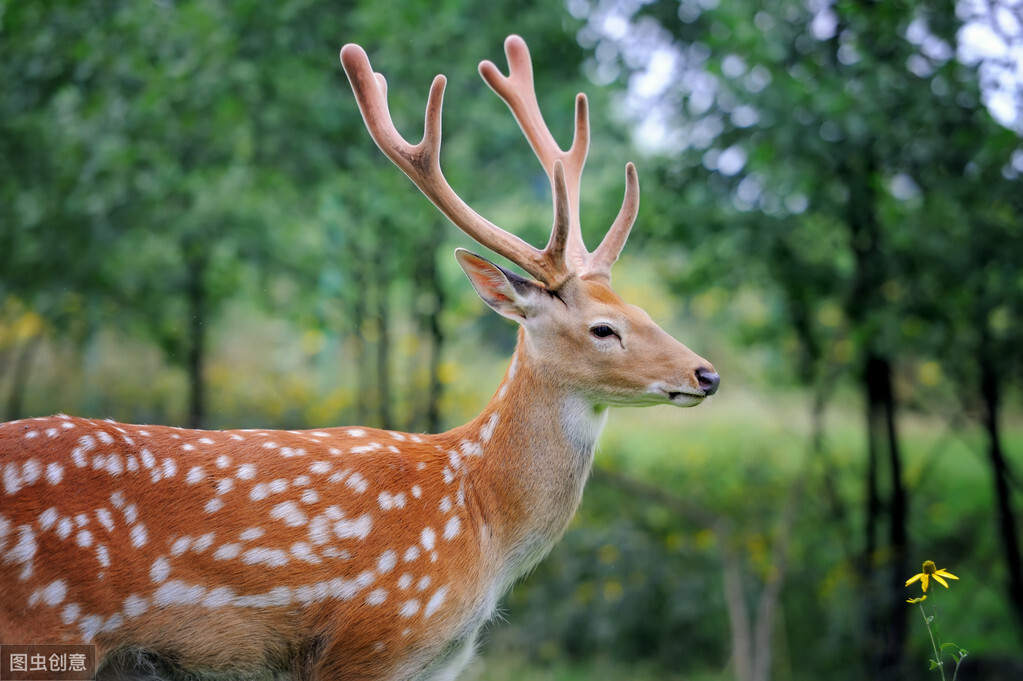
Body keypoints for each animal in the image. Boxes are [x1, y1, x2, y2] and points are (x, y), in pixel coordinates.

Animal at [0, 35, 720, 678]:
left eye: (644, 312)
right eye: (604, 329)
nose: (706, 373)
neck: (479, 519)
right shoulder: (374, 637)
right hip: (46, 623)